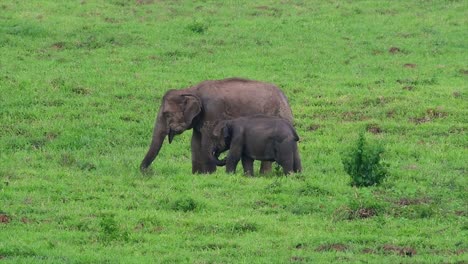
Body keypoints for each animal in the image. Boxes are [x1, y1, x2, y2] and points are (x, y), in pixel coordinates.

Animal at [140, 77, 292, 174]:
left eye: (166, 114)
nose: (147, 172)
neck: (191, 90)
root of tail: (285, 99)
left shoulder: (213, 112)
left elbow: (207, 141)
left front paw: (209, 175)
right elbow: (195, 142)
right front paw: (197, 175)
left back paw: (264, 175)